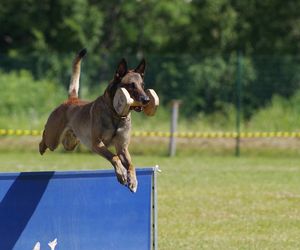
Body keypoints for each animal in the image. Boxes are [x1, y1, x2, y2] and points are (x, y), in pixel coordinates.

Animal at [39, 49, 149, 193]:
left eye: (142, 85)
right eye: (131, 86)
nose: (146, 99)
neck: (115, 115)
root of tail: (72, 99)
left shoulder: (122, 148)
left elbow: (131, 164)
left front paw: (133, 181)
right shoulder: (97, 144)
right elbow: (114, 157)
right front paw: (121, 174)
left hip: (70, 143)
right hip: (53, 139)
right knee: (45, 136)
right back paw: (41, 146)